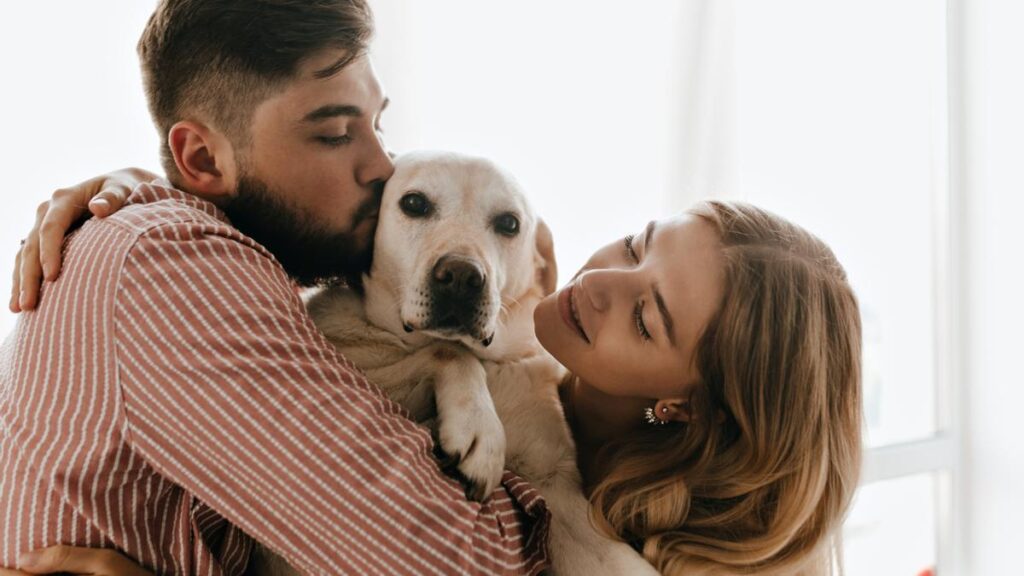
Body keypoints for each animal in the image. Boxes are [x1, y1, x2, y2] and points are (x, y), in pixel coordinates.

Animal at [252, 150, 659, 569]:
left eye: (509, 223)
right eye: (414, 203)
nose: (462, 277)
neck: (491, 362)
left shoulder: (555, 489)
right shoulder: (358, 363)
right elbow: (450, 351)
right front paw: (480, 430)